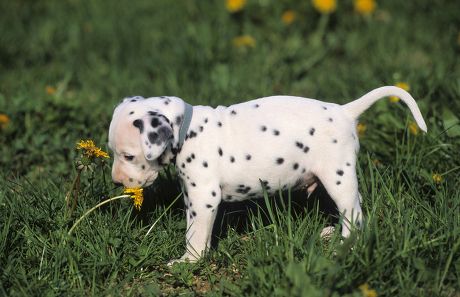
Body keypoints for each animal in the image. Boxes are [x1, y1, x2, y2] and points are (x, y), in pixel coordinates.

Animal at [108, 86, 428, 264]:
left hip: (337, 177)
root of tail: (344, 112)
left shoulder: (203, 197)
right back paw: (330, 232)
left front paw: (189, 260)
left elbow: (195, 234)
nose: (116, 181)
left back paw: (343, 244)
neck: (188, 129)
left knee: (354, 214)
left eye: (128, 156)